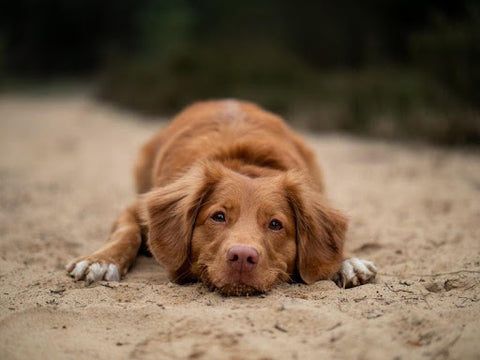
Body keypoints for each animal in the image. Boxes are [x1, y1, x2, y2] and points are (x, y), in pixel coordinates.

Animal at [65, 99, 376, 296]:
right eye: (218, 216)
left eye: (276, 224)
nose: (242, 257)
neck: (244, 163)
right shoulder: (136, 208)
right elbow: (126, 233)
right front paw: (101, 260)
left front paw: (347, 260)